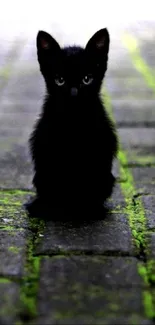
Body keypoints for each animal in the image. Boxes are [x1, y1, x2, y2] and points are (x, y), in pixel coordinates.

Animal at [25, 27, 117, 215]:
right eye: (60, 80)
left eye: (87, 79)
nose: (74, 94)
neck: (73, 121)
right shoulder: (47, 144)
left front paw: (90, 206)